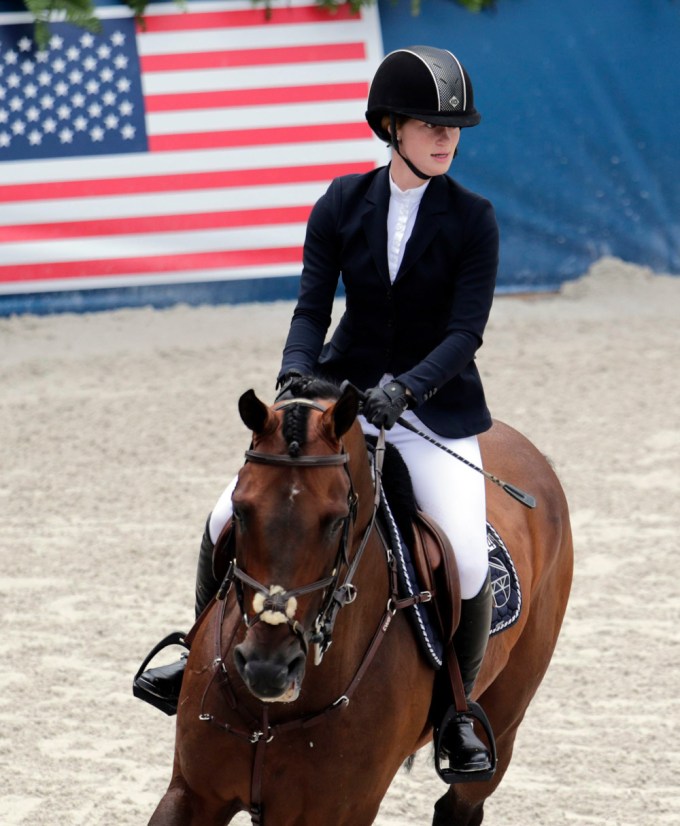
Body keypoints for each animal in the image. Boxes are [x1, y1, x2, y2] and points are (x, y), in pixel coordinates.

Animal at [149, 380, 572, 824]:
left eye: (336, 520)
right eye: (241, 509)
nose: (268, 669)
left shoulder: (342, 812)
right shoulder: (191, 793)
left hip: (504, 725)